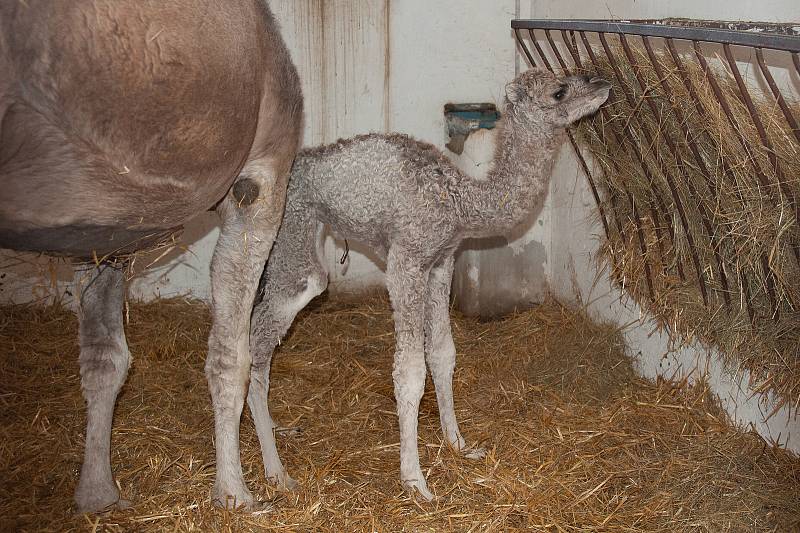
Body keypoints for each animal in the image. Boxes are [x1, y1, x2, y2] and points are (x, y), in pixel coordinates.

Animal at [247, 67, 608, 498]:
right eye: (558, 91)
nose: (603, 84)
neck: (459, 200)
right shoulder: (407, 263)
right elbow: (409, 371)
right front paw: (415, 479)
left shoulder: (441, 263)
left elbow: (442, 353)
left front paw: (459, 444)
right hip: (294, 239)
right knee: (262, 331)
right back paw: (275, 470)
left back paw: (277, 429)